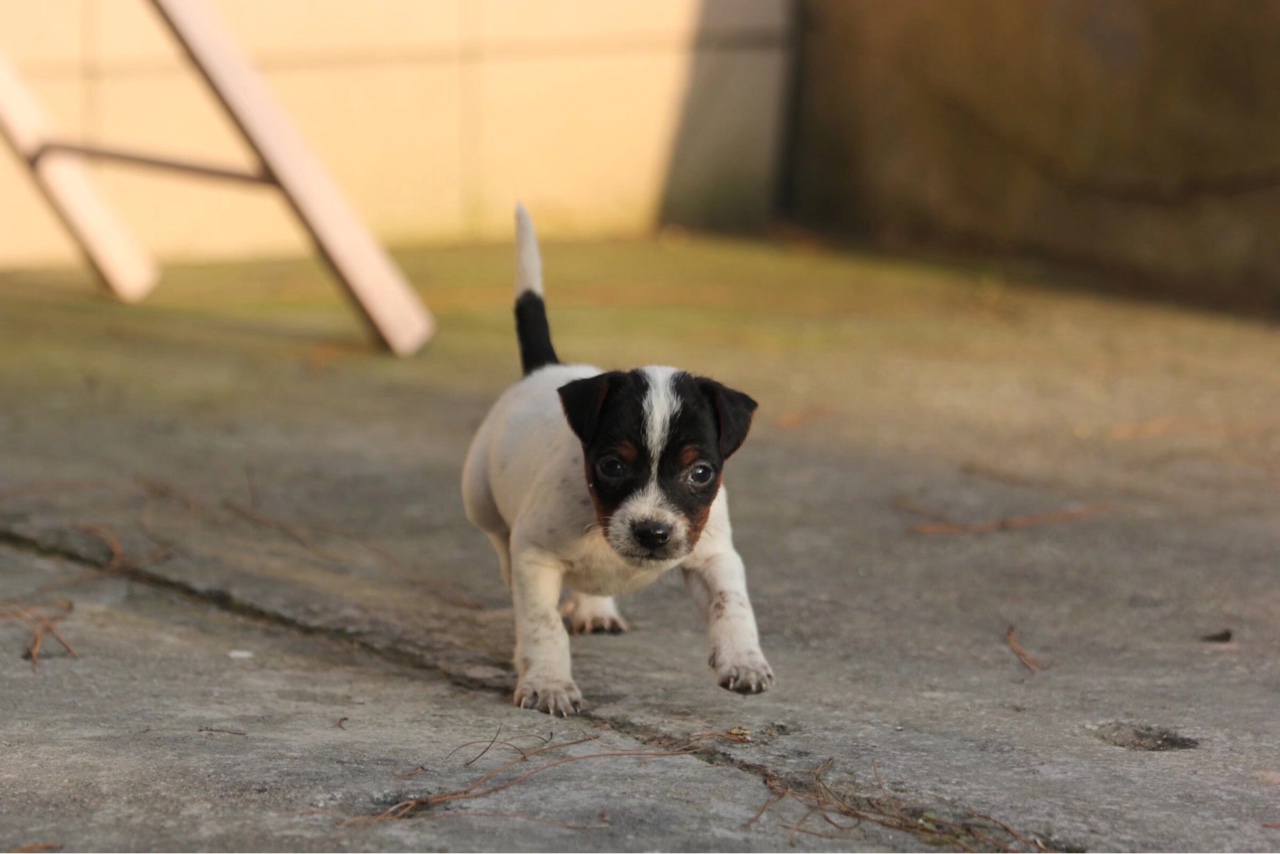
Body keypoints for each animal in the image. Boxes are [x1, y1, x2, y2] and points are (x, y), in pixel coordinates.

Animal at [465, 204, 773, 717]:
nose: (652, 533)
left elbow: (733, 605)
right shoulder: (535, 557)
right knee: (501, 548)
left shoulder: (714, 555)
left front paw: (743, 660)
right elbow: (542, 624)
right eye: (612, 466)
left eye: (701, 472)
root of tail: (546, 368)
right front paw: (548, 682)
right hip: (480, 501)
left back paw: (596, 608)